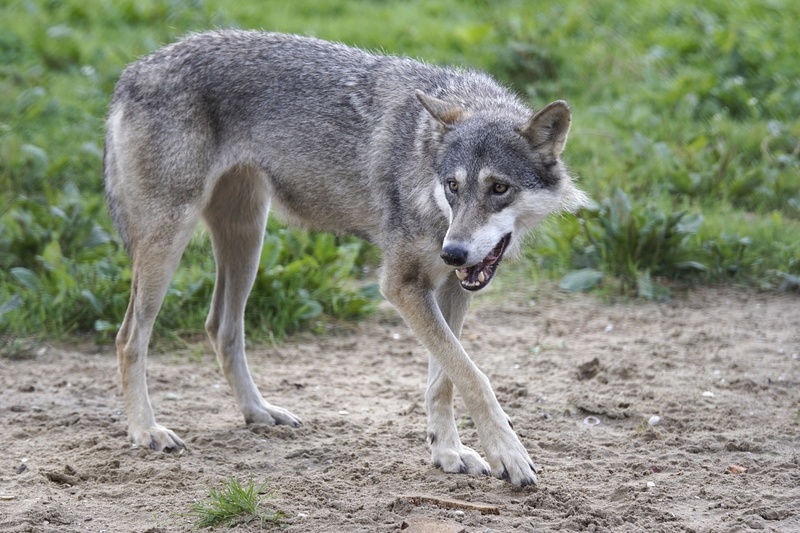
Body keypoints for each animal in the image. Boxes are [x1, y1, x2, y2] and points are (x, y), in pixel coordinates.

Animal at [104, 30, 587, 487]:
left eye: (499, 188)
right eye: (453, 186)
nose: (453, 252)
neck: (422, 164)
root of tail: (134, 70)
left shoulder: (452, 287)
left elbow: (445, 378)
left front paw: (448, 452)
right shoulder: (401, 286)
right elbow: (473, 376)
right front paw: (509, 455)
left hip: (248, 239)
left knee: (221, 327)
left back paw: (259, 412)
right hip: (169, 243)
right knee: (129, 337)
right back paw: (146, 431)